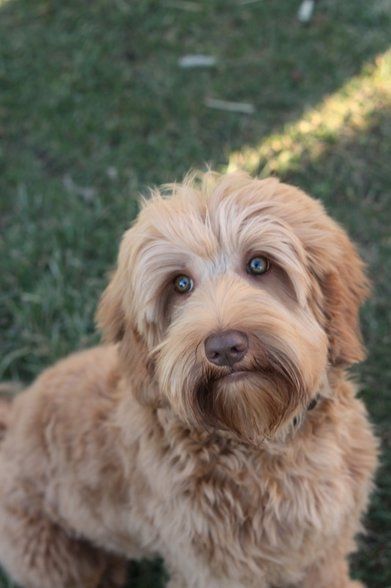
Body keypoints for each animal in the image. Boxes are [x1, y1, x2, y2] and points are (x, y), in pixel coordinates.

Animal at [0, 169, 380, 584]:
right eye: (180, 284)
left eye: (259, 264)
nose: (224, 347)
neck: (258, 436)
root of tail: (13, 418)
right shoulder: (211, 568)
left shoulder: (326, 541)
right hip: (49, 556)